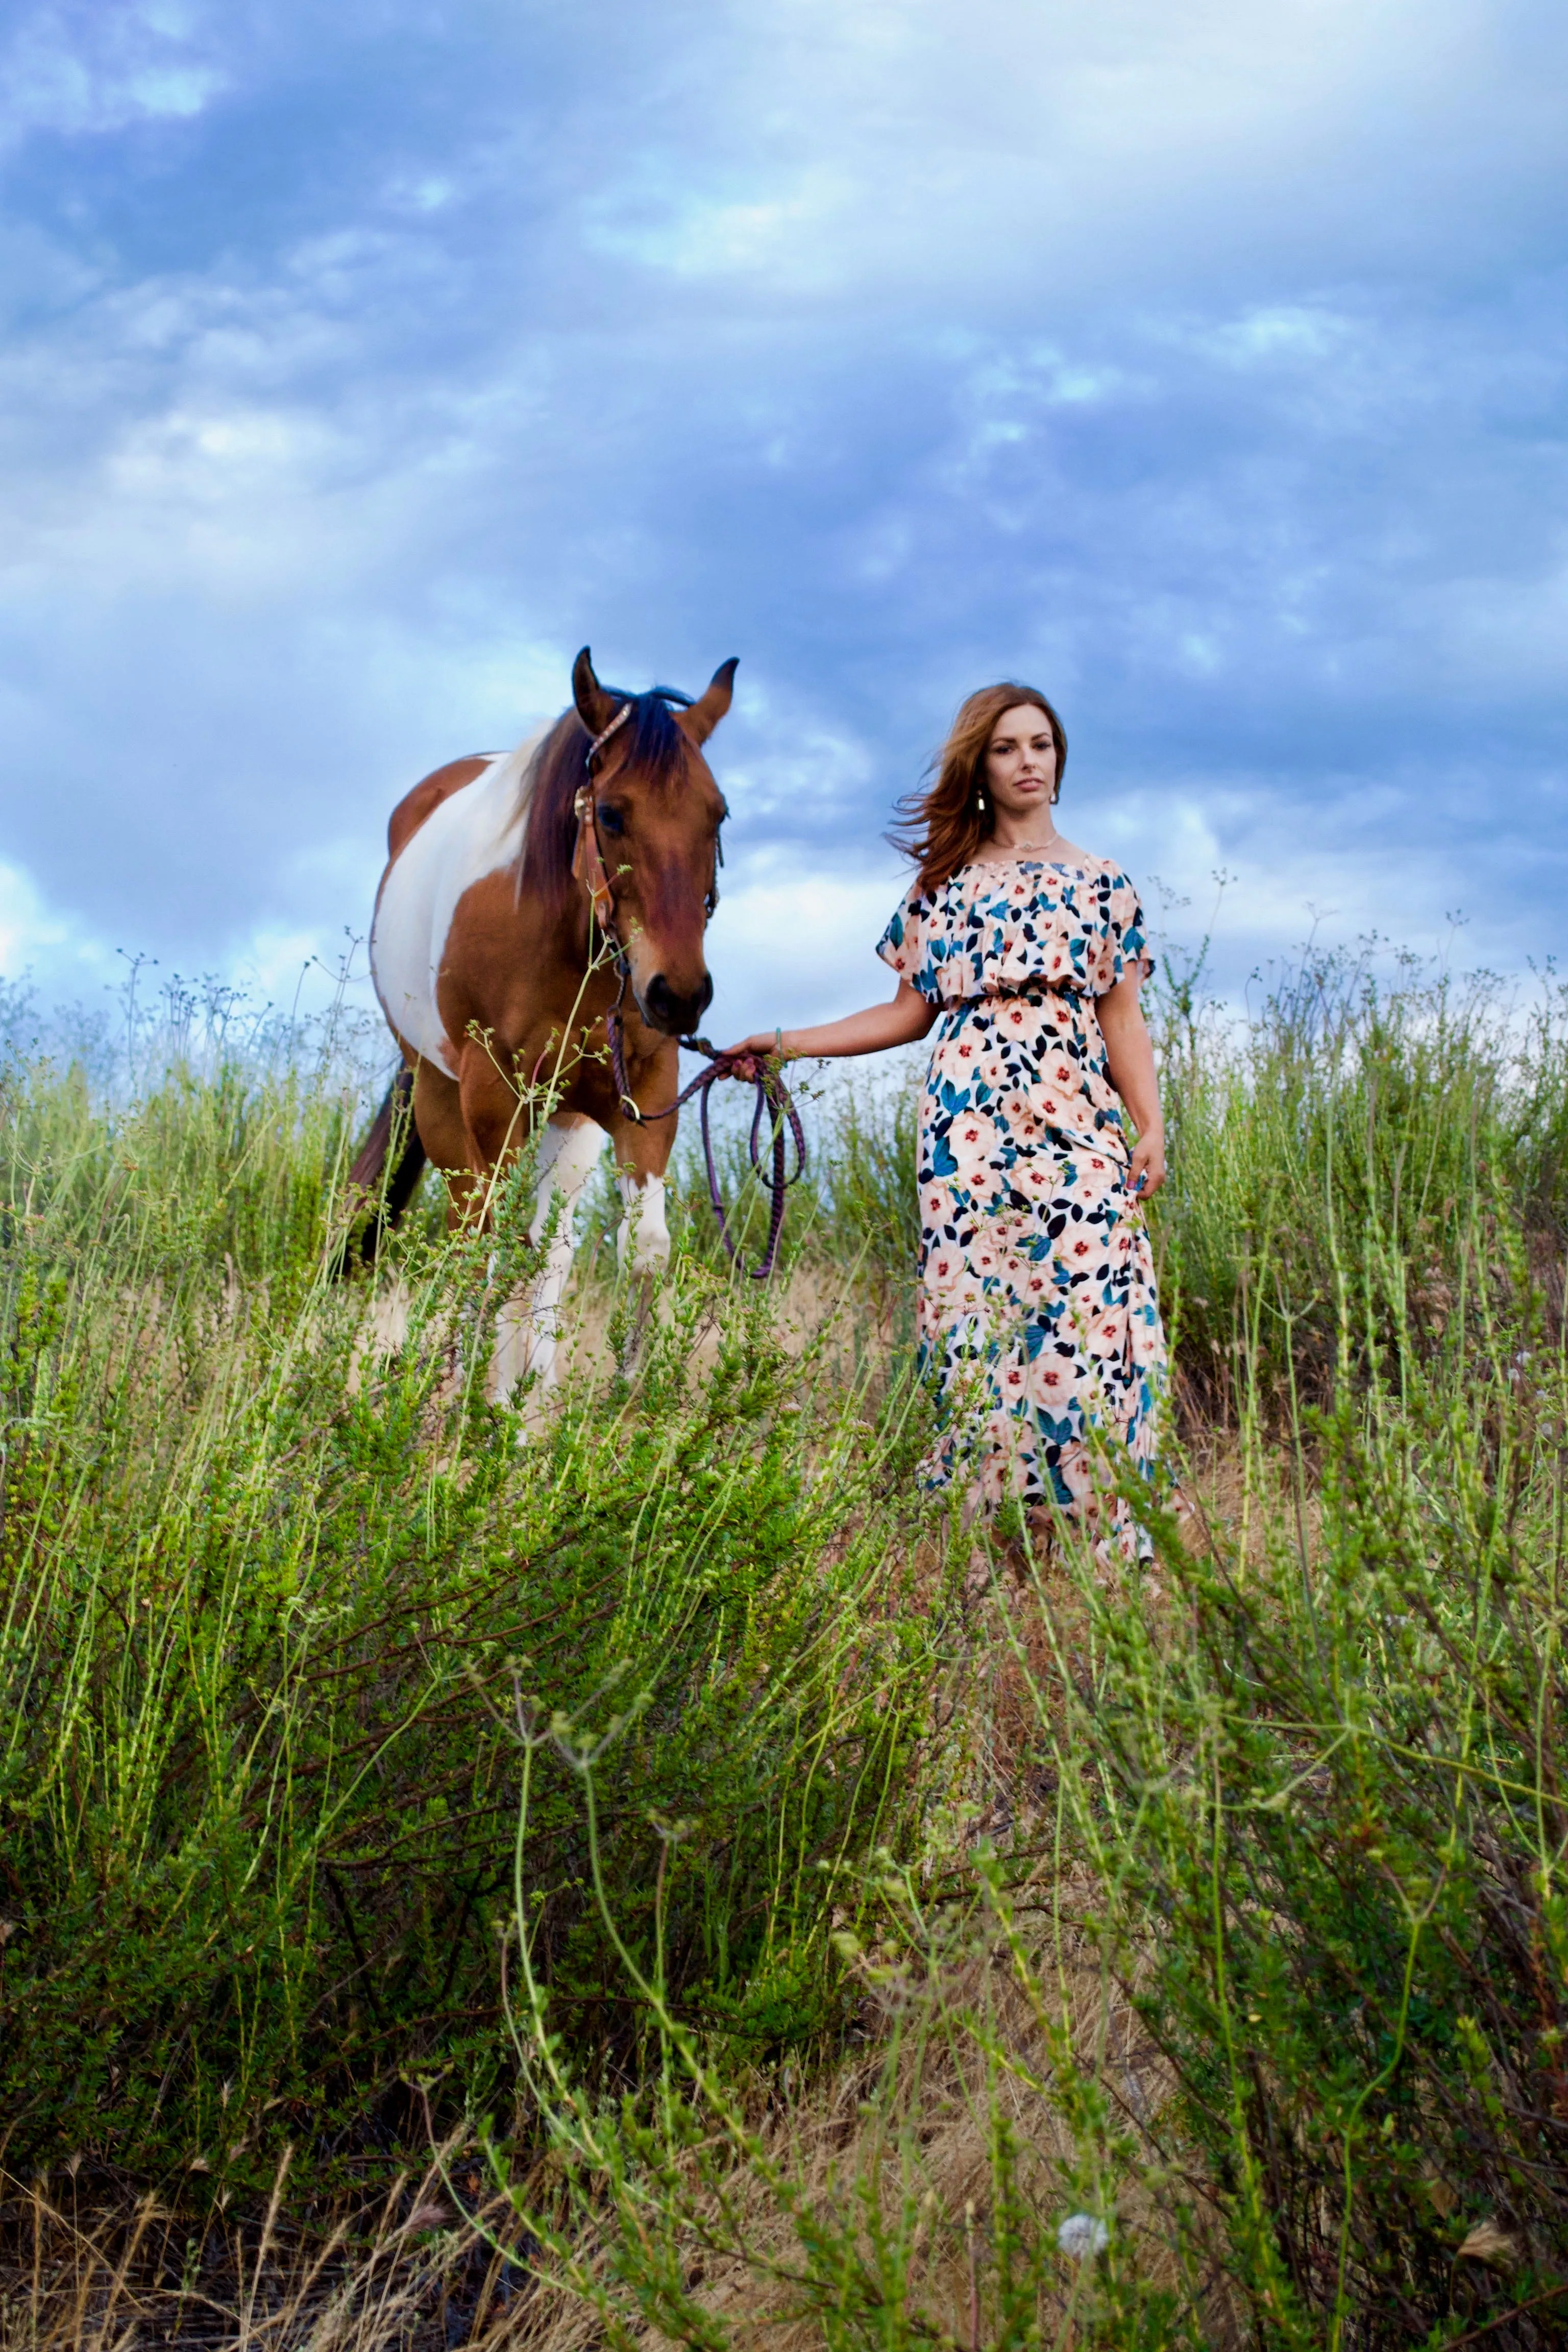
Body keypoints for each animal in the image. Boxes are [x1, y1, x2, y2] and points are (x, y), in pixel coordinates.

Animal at [350, 644, 738, 1392]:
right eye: (611, 814)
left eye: (719, 816)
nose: (679, 995)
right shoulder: (492, 1095)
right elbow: (497, 1249)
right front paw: (481, 1399)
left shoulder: (644, 1090)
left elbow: (641, 1249)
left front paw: (623, 1397)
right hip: (443, 1100)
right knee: (476, 1230)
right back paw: (471, 1377)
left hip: (569, 1116)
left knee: (548, 1242)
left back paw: (531, 1385)